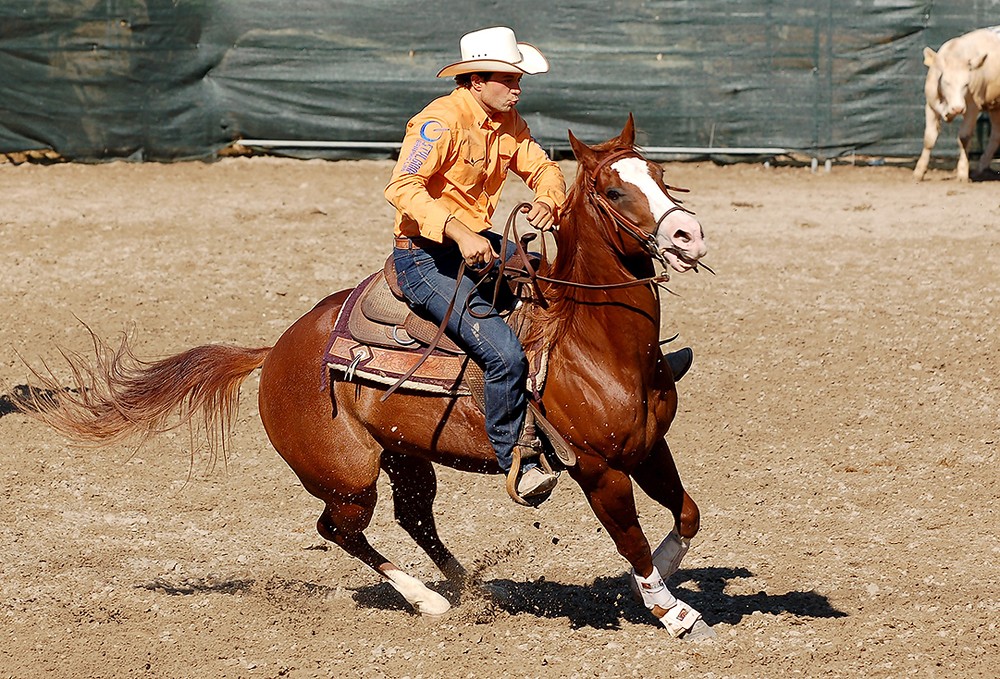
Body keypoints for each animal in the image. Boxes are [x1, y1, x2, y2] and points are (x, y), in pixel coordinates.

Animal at [23, 115, 712, 636]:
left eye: (660, 176)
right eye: (614, 192)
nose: (688, 233)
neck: (589, 346)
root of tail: (276, 351)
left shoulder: (649, 448)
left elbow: (686, 514)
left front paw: (667, 576)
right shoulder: (598, 469)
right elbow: (630, 540)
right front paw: (673, 612)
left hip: (406, 455)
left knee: (416, 519)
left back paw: (468, 588)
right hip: (347, 476)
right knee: (339, 528)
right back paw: (427, 599)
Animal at [916, 26, 1000, 182]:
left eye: (966, 84)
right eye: (946, 82)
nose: (958, 108)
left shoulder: (972, 108)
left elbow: (964, 137)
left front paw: (962, 172)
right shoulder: (930, 106)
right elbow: (929, 138)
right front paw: (919, 171)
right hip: (996, 106)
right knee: (996, 135)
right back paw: (981, 168)